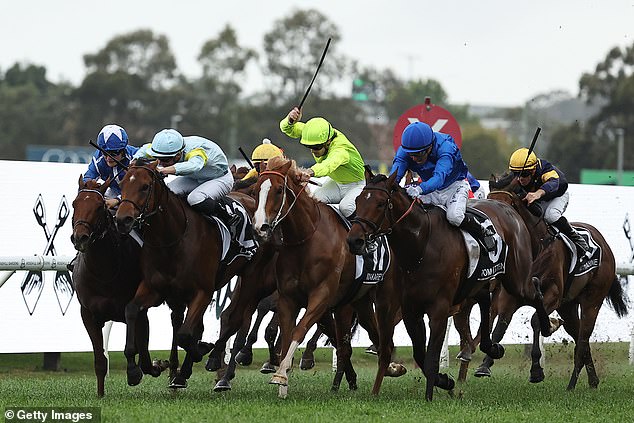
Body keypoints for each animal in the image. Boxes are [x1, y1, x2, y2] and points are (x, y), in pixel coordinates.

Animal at [70, 177, 168, 396]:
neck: (104, 273)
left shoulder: (139, 312)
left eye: (99, 206)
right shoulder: (87, 314)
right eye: (74, 204)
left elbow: (144, 357)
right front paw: (100, 395)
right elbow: (100, 359)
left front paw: (151, 367)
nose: (80, 237)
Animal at [113, 162, 254, 390]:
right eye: (122, 183)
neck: (173, 239)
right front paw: (134, 370)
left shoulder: (202, 292)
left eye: (145, 186)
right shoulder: (155, 288)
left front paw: (201, 350)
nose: (122, 220)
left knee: (237, 318)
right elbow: (131, 309)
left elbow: (185, 334)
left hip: (251, 276)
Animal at [248, 157, 400, 400]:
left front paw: (280, 374)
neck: (306, 240)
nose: (260, 227)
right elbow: (287, 335)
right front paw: (283, 385)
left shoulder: (321, 296)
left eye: (279, 190)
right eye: (254, 191)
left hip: (383, 297)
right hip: (358, 303)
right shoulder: (287, 299)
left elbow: (299, 330)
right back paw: (387, 369)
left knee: (379, 335)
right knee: (364, 337)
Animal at [346, 169, 548, 400]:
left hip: (516, 279)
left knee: (534, 291)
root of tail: (509, 209)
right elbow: (420, 354)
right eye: (358, 200)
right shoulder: (410, 310)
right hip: (476, 284)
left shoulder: (439, 309)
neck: (420, 246)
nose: (354, 240)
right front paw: (445, 381)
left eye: (380, 204)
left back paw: (545, 334)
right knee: (485, 300)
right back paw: (492, 347)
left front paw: (429, 397)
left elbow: (431, 357)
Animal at [476, 171, 628, 390]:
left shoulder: (553, 294)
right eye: (488, 201)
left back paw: (572, 385)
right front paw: (485, 365)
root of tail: (604, 244)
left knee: (583, 340)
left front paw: (536, 369)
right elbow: (500, 327)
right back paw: (592, 381)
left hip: (592, 301)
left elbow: (536, 321)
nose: (492, 235)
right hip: (568, 306)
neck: (535, 246)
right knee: (580, 338)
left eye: (506, 206)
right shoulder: (510, 296)